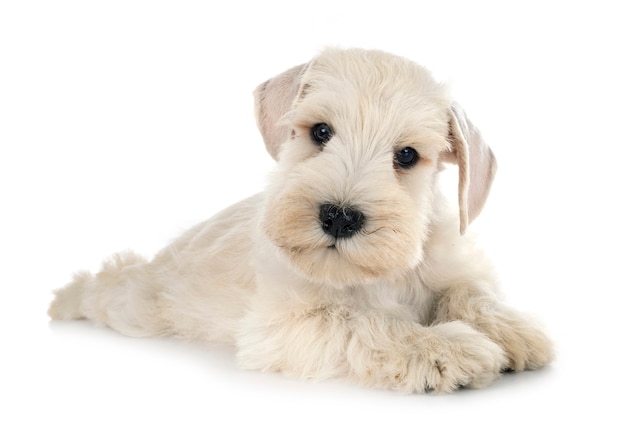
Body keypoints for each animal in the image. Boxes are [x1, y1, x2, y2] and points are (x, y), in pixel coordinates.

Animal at [50, 49, 552, 394]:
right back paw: (67, 300)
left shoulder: (455, 264)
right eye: (321, 132)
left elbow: (471, 291)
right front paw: (445, 348)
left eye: (407, 155)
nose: (339, 217)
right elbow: (364, 320)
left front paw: (516, 330)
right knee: (107, 280)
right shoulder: (287, 323)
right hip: (137, 299)